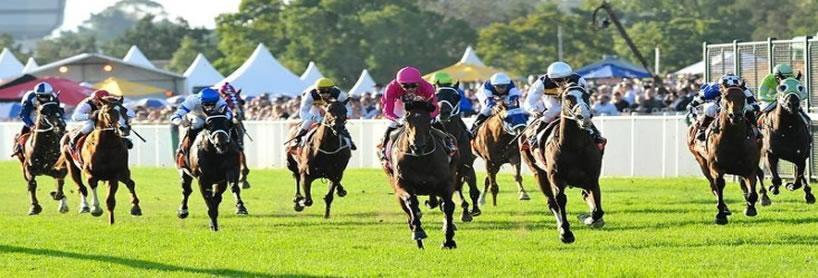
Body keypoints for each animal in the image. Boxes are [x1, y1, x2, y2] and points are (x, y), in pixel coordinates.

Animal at [58, 96, 140, 225]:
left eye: (125, 110)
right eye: (108, 111)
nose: (125, 128)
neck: (107, 146)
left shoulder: (116, 174)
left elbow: (114, 198)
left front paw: (131, 210)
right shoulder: (89, 172)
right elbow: (92, 184)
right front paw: (95, 208)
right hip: (71, 166)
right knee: (81, 188)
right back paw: (84, 206)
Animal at [384, 100, 460, 250]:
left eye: (428, 120)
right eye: (407, 119)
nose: (417, 147)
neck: (421, 160)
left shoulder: (446, 183)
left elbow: (448, 206)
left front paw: (448, 240)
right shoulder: (402, 185)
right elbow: (411, 202)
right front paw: (418, 231)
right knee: (408, 210)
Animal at [434, 88, 478, 220]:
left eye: (456, 97)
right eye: (436, 95)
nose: (443, 111)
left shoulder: (465, 164)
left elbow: (460, 185)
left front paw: (467, 211)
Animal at [520, 85, 604, 243]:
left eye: (587, 95)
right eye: (567, 97)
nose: (584, 116)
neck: (574, 147)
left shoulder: (592, 178)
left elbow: (597, 210)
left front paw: (587, 218)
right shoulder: (556, 177)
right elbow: (561, 200)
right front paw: (566, 233)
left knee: (585, 196)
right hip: (538, 172)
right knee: (551, 202)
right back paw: (560, 227)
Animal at [688, 86, 760, 225]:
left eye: (743, 96)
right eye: (725, 96)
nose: (735, 115)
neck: (734, 139)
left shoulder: (750, 167)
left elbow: (752, 190)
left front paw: (750, 208)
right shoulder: (715, 165)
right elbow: (719, 184)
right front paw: (721, 214)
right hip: (701, 161)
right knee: (713, 185)